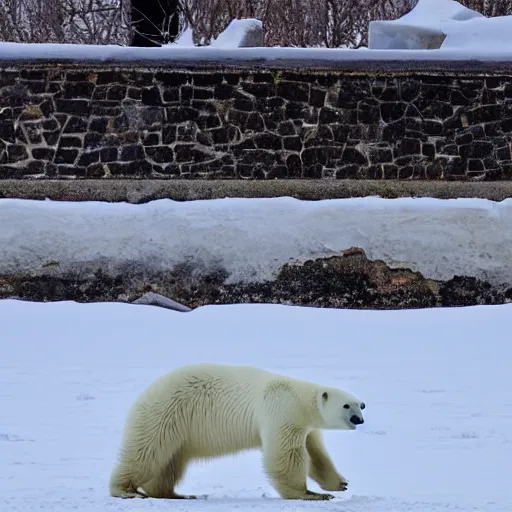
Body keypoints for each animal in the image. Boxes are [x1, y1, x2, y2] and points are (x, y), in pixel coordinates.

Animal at [110, 364, 366, 500]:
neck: (299, 397)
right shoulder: (281, 410)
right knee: (146, 452)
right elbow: (287, 455)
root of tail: (145, 394)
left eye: (361, 405)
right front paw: (309, 493)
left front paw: (340, 483)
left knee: (169, 463)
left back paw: (174, 493)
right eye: (346, 405)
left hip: (178, 431)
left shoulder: (303, 425)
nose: (359, 420)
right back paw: (127, 490)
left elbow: (315, 453)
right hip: (165, 415)